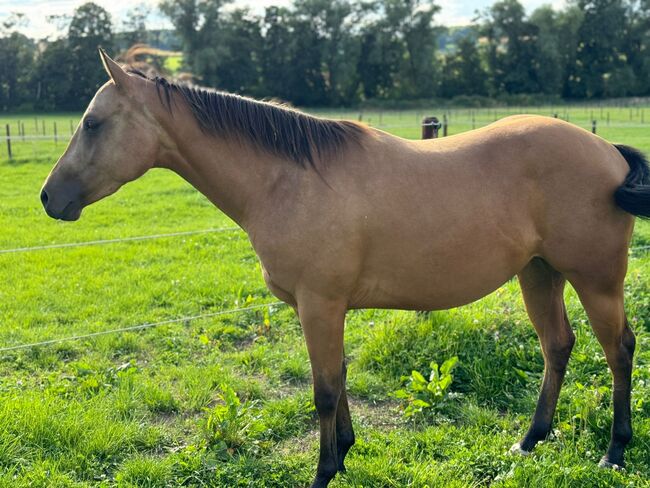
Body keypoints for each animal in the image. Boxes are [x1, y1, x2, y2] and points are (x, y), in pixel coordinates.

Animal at [41, 50, 648, 488]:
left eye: (92, 123)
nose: (49, 198)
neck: (287, 178)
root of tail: (609, 151)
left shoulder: (321, 305)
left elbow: (325, 391)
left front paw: (325, 471)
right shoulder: (324, 309)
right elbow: (339, 376)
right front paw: (348, 452)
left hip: (596, 281)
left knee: (618, 349)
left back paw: (615, 451)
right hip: (539, 273)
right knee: (557, 345)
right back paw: (529, 440)